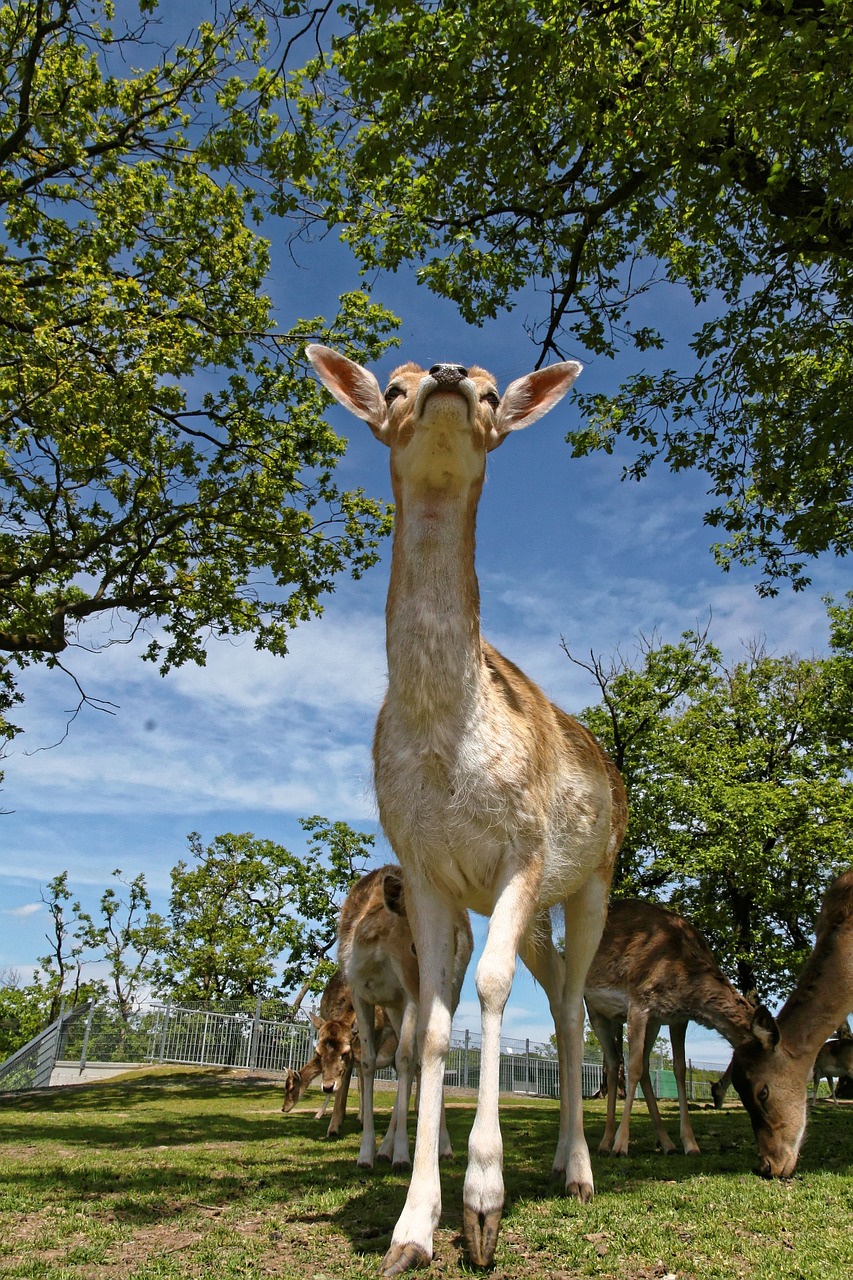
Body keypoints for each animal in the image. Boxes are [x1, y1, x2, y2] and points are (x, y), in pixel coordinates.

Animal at [306, 345, 625, 1274]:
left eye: (490, 392)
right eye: (395, 384)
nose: (448, 377)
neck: (446, 747)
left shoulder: (522, 849)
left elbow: (488, 989)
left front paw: (483, 1206)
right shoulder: (426, 869)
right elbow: (432, 1031)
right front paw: (413, 1224)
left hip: (589, 877)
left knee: (571, 1009)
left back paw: (577, 1170)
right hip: (530, 908)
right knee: (550, 992)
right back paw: (553, 1161)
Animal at [584, 901, 753, 1162]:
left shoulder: (677, 1019)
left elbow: (679, 1069)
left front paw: (691, 1144)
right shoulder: (638, 1004)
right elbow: (632, 1068)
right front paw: (621, 1145)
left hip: (647, 1022)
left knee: (637, 1065)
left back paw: (667, 1143)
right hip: (595, 1010)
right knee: (614, 1063)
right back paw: (606, 1142)